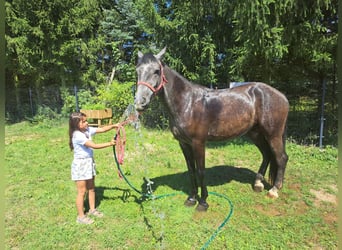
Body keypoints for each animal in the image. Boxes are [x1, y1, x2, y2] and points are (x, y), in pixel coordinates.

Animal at [134, 47, 288, 211]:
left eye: (156, 71)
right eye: (137, 70)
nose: (140, 103)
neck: (187, 102)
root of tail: (281, 96)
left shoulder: (198, 142)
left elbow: (201, 171)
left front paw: (203, 202)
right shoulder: (184, 143)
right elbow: (191, 170)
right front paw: (191, 198)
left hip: (273, 134)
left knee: (281, 158)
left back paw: (274, 190)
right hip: (255, 133)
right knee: (266, 154)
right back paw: (258, 184)